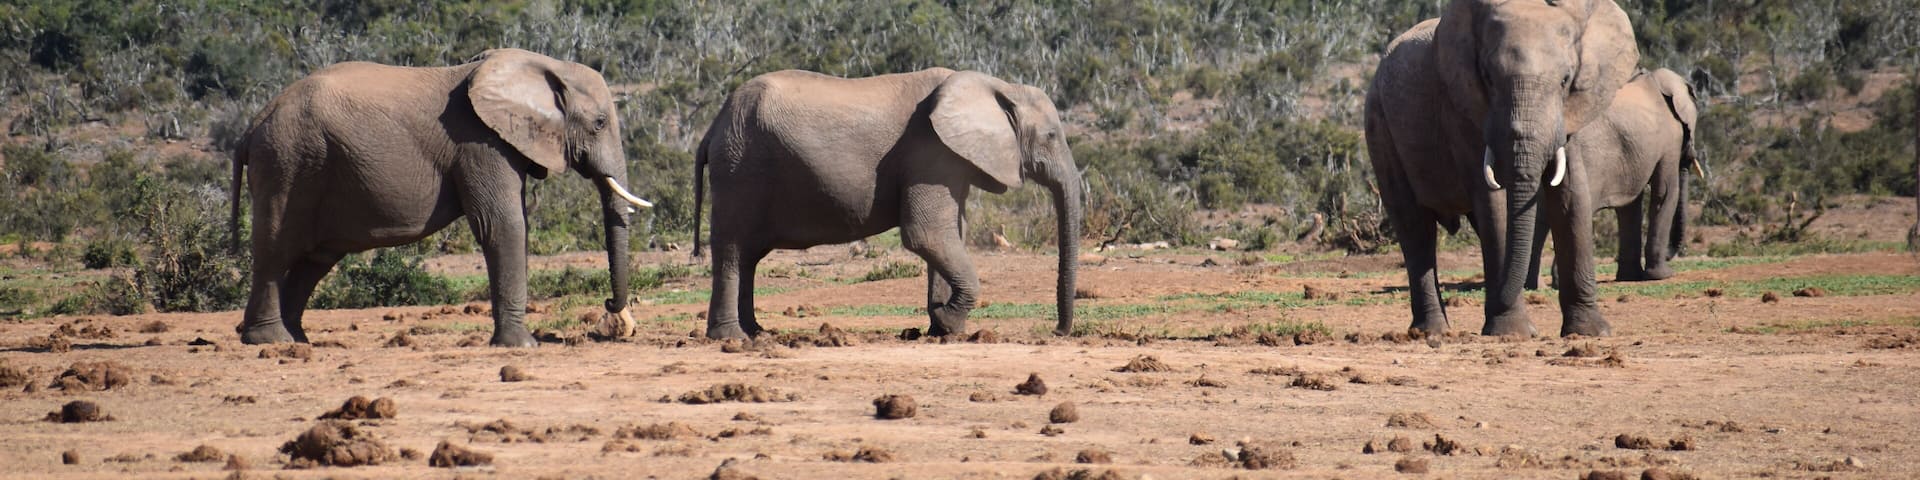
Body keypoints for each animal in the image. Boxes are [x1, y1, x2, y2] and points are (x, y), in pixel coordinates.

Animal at [229, 48, 653, 347]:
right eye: (599, 123)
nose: (612, 311)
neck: (544, 65)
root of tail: (251, 127)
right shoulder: (480, 142)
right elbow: (502, 224)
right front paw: (520, 346)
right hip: (287, 161)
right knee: (276, 249)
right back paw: (271, 340)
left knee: (316, 258)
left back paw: (297, 339)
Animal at [690, 68, 1081, 339]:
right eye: (1051, 136)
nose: (1058, 332)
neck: (998, 86)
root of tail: (713, 128)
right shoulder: (933, 153)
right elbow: (926, 234)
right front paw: (948, 320)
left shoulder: (950, 160)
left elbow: (951, 233)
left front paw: (942, 330)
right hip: (740, 167)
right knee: (732, 249)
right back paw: (733, 337)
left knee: (748, 255)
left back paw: (757, 332)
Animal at [1365, 0, 1638, 337]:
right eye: (1489, 78)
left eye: (1565, 79)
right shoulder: (1463, 109)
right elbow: (1493, 204)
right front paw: (1512, 333)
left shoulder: (1570, 115)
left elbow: (1572, 195)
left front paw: (1590, 333)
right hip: (1379, 124)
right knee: (1413, 224)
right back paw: (1432, 333)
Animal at [1525, 68, 1702, 289]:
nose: (1672, 255)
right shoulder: (1670, 140)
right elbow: (1666, 192)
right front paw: (1663, 275)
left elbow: (1630, 206)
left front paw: (1630, 277)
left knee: (1540, 216)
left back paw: (1533, 286)